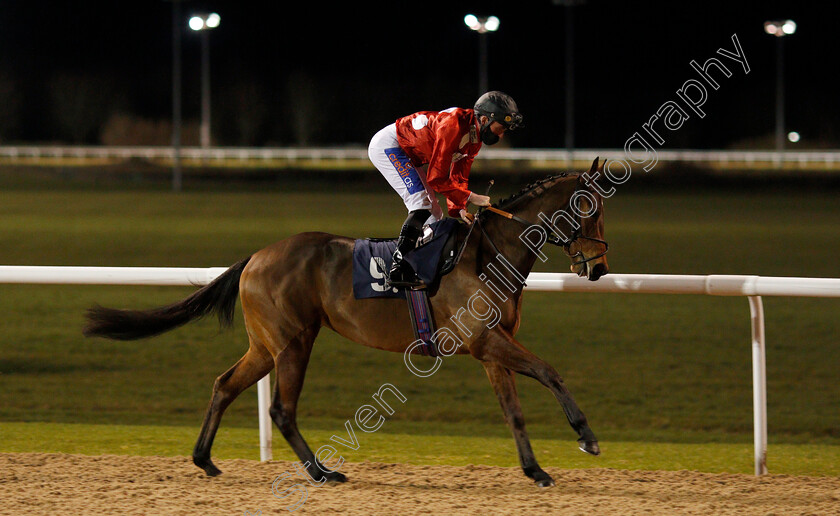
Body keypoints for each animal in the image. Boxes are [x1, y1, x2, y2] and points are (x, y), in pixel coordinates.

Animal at [83, 157, 612, 488]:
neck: (487, 253)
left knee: (225, 384)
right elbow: (549, 372)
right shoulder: (484, 340)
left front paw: (535, 470)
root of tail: (255, 256)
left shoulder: (491, 348)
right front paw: (585, 436)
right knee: (281, 409)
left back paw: (204, 459)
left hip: (265, 346)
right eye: (591, 210)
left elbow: (513, 410)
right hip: (294, 342)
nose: (599, 267)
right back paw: (321, 472)